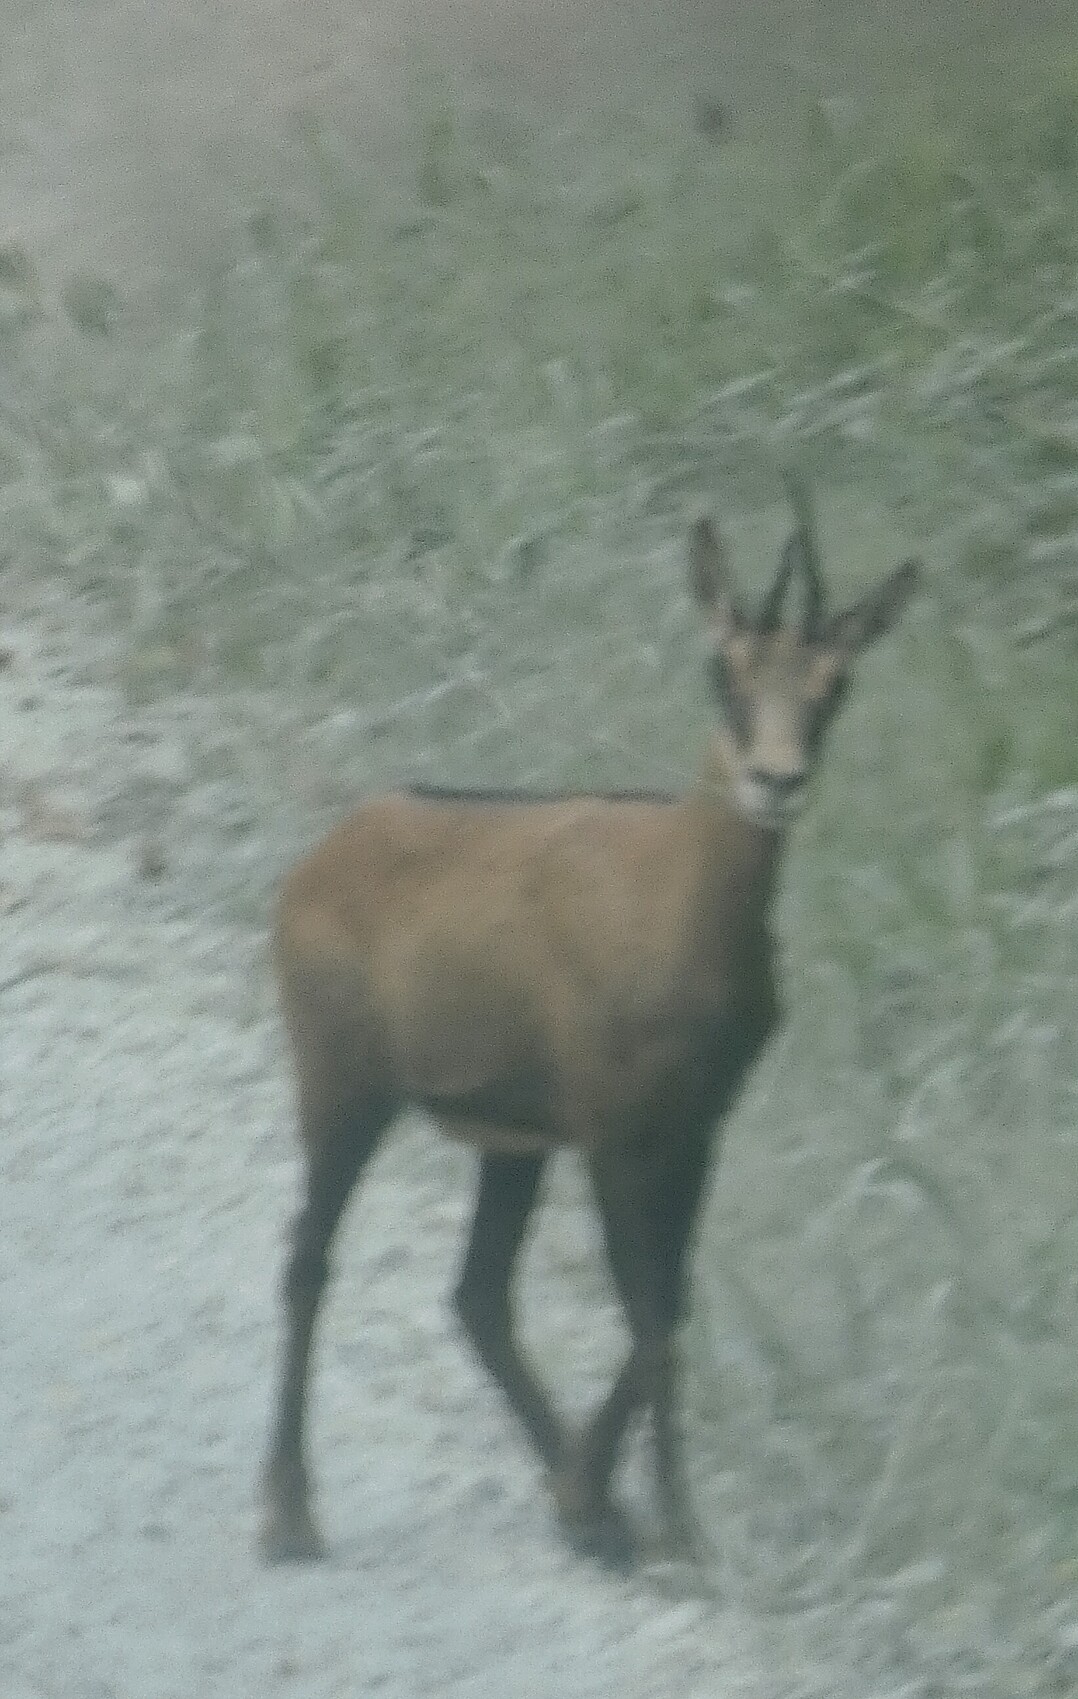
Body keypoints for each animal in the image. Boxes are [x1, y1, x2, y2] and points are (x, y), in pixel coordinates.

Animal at [260, 479, 920, 1573]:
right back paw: (289, 1515)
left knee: (477, 1293)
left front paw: (625, 1511)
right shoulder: (613, 1126)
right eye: (725, 668)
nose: (775, 780)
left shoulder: (694, 1127)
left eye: (835, 682)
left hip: (509, 1139)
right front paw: (653, 1520)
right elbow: (647, 1308)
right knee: (309, 1255)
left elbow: (671, 1304)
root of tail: (324, 854)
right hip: (343, 1077)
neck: (682, 919)